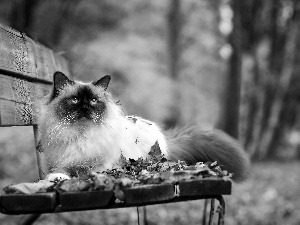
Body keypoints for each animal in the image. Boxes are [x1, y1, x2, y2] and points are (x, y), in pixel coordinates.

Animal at [39, 72, 251, 183]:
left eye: (93, 101)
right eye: (75, 99)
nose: (84, 108)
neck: (81, 135)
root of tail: (164, 140)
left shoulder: (100, 167)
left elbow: (80, 171)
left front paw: (62, 177)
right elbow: (61, 169)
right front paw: (56, 177)